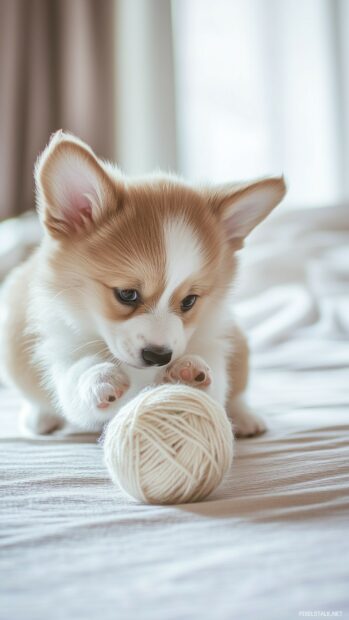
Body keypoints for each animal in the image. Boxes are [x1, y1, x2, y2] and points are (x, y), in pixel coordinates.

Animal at [0, 132, 284, 436]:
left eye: (189, 301)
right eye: (127, 294)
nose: (158, 356)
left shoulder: (213, 347)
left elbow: (213, 389)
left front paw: (189, 373)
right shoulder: (62, 349)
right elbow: (76, 379)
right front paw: (99, 377)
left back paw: (245, 418)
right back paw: (39, 418)